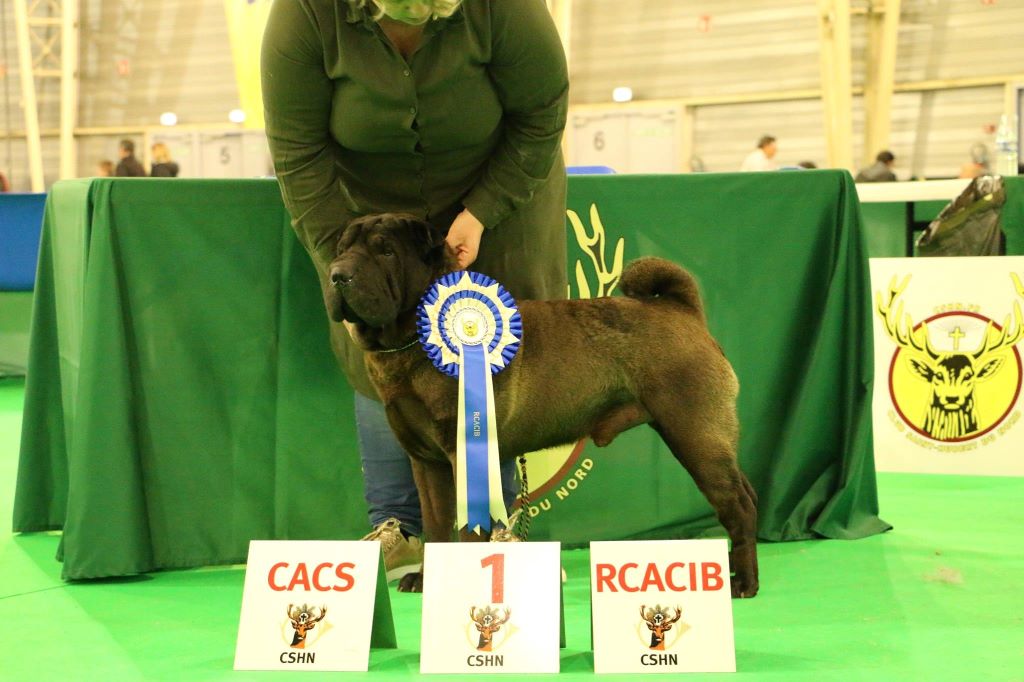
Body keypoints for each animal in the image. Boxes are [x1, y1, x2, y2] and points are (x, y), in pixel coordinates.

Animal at [323, 212, 757, 593]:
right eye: (341, 249)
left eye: (386, 252)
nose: (338, 274)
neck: (413, 337)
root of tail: (681, 310)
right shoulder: (427, 463)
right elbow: (437, 525)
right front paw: (428, 579)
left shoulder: (463, 452)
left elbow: (467, 527)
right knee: (746, 495)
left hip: (695, 434)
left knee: (737, 505)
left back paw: (744, 584)